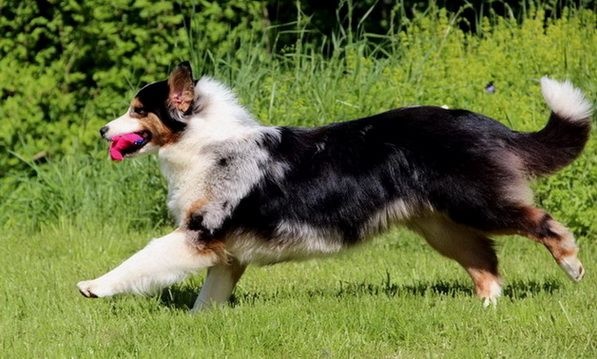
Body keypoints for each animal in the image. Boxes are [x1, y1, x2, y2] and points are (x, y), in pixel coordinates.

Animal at [75, 62, 592, 310]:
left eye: (138, 110)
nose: (101, 130)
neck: (204, 143)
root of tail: (485, 123)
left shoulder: (198, 234)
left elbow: (142, 259)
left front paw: (94, 286)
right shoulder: (227, 252)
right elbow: (208, 298)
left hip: (476, 203)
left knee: (543, 223)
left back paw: (572, 267)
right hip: (440, 227)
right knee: (485, 261)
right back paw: (486, 308)